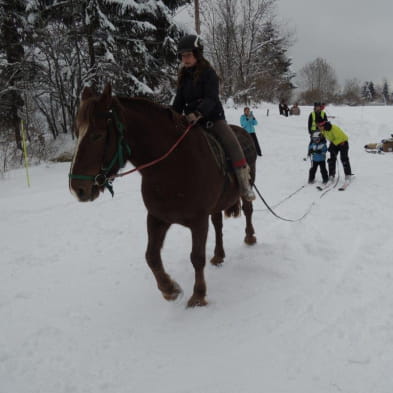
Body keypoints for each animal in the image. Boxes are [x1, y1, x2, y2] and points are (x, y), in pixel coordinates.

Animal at [69, 83, 256, 306]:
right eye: (77, 132)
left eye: (97, 135)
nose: (77, 188)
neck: (172, 166)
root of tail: (243, 133)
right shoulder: (157, 217)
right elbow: (151, 256)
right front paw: (169, 288)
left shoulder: (198, 221)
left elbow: (196, 257)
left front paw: (198, 295)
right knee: (218, 224)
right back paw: (219, 255)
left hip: (246, 188)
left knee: (248, 210)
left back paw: (250, 237)